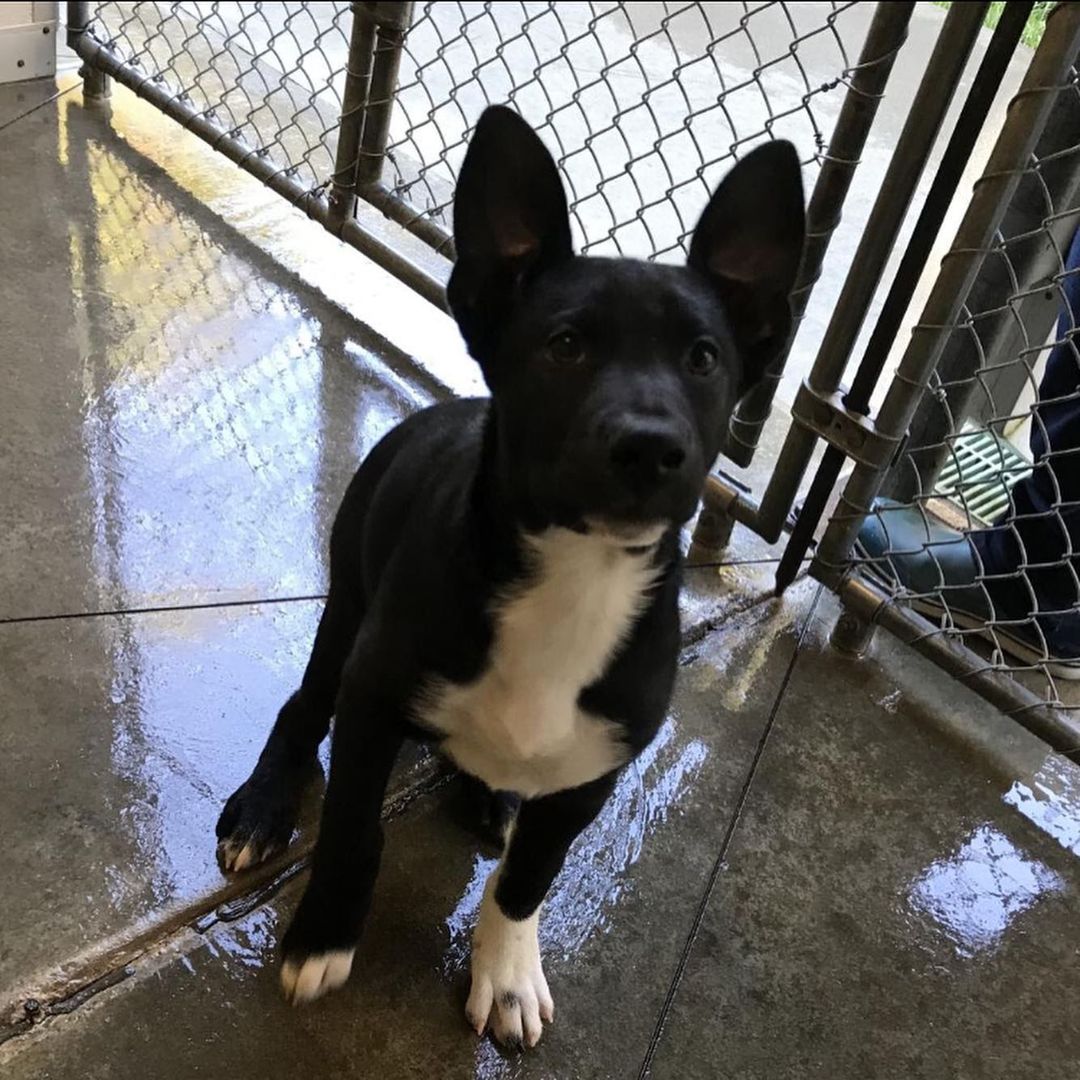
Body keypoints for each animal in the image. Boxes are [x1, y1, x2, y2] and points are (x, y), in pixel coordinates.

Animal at [214, 107, 803, 1045]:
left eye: (705, 359)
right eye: (564, 346)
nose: (650, 448)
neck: (572, 577)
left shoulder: (593, 772)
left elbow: (532, 876)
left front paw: (510, 970)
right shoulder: (373, 702)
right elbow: (351, 832)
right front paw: (325, 935)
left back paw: (487, 796)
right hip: (345, 614)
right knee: (303, 707)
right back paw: (267, 805)